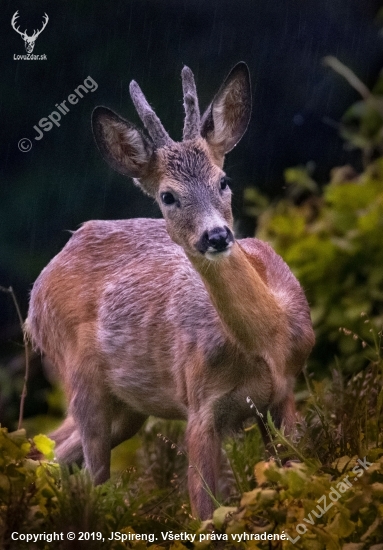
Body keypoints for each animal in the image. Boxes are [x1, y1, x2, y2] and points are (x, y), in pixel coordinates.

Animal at [26, 63, 316, 520]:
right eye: (167, 196)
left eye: (223, 180)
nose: (216, 235)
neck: (265, 343)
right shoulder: (199, 405)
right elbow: (204, 509)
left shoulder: (285, 393)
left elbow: (295, 473)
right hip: (78, 376)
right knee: (90, 474)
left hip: (127, 407)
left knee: (51, 449)